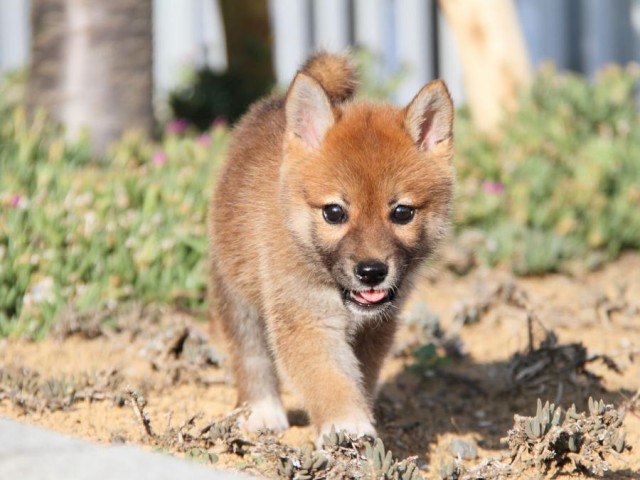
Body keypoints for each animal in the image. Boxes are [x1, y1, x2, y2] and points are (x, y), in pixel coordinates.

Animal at [208, 51, 452, 442]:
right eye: (334, 212)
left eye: (402, 213)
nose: (371, 272)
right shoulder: (305, 321)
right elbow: (328, 381)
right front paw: (347, 427)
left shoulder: (376, 329)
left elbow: (358, 378)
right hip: (237, 294)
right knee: (251, 357)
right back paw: (262, 411)